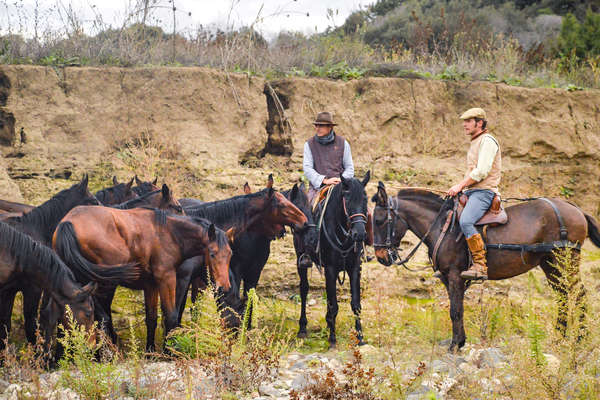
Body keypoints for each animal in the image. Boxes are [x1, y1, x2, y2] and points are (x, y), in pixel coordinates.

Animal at [53, 208, 237, 352]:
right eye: (212, 254)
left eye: (230, 254)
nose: (224, 286)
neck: (168, 233)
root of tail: (67, 223)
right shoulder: (167, 279)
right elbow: (171, 315)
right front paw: (170, 351)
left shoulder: (151, 286)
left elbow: (152, 318)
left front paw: (150, 351)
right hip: (103, 284)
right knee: (101, 316)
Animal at [310, 173, 370, 348]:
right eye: (347, 201)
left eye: (366, 200)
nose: (360, 234)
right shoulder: (330, 269)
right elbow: (334, 306)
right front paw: (332, 339)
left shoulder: (355, 268)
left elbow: (356, 304)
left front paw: (360, 338)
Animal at [372, 183, 596, 352]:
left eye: (380, 220)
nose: (381, 257)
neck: (442, 226)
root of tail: (575, 208)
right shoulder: (448, 278)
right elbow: (457, 308)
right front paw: (460, 341)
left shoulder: (455, 275)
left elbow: (455, 310)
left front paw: (455, 345)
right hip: (550, 265)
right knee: (563, 297)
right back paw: (560, 336)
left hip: (565, 261)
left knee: (578, 294)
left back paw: (580, 338)